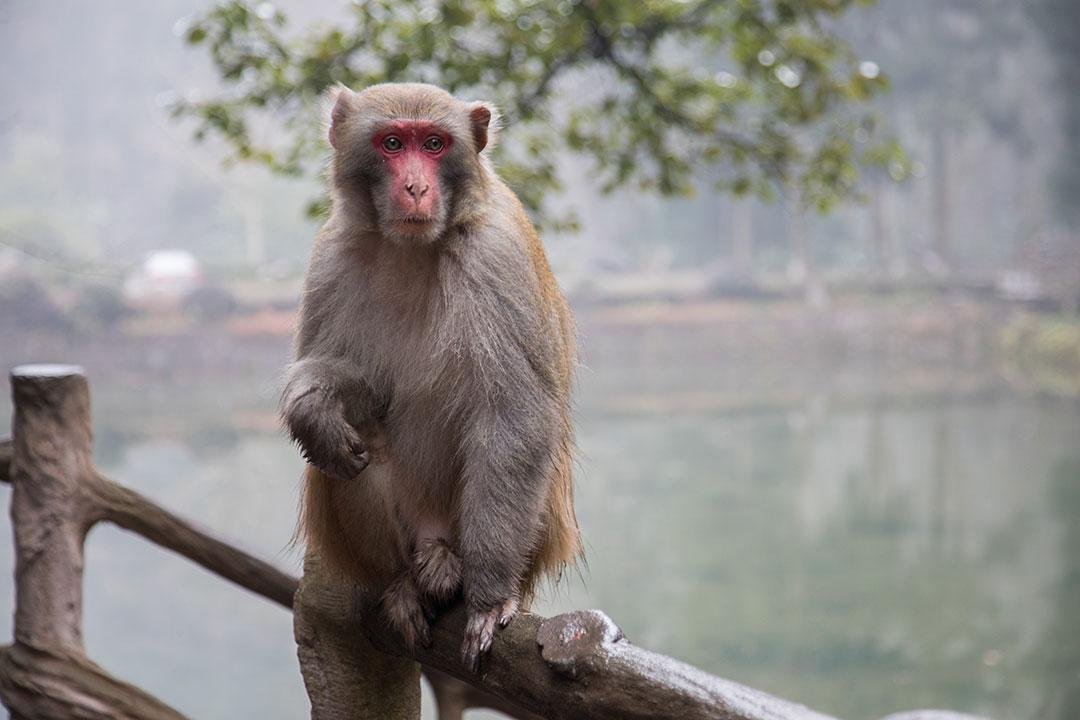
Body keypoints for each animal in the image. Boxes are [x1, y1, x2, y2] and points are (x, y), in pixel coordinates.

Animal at [280, 83, 583, 669]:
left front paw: (488, 598)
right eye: (393, 143)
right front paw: (311, 405)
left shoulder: (497, 256)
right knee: (346, 458)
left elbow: (515, 420)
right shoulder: (334, 252)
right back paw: (402, 583)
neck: (412, 248)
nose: (416, 186)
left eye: (436, 144)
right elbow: (362, 389)